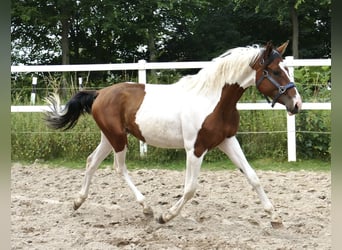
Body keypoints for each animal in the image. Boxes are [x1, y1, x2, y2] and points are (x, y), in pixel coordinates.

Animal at [44, 41, 302, 229]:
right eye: (275, 71)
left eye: (287, 70)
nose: (297, 104)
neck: (212, 100)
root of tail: (99, 94)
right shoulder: (195, 149)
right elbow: (190, 189)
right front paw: (165, 217)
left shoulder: (227, 141)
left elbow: (253, 177)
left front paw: (275, 218)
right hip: (118, 138)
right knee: (118, 167)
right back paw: (147, 208)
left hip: (109, 137)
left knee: (91, 161)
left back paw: (78, 202)